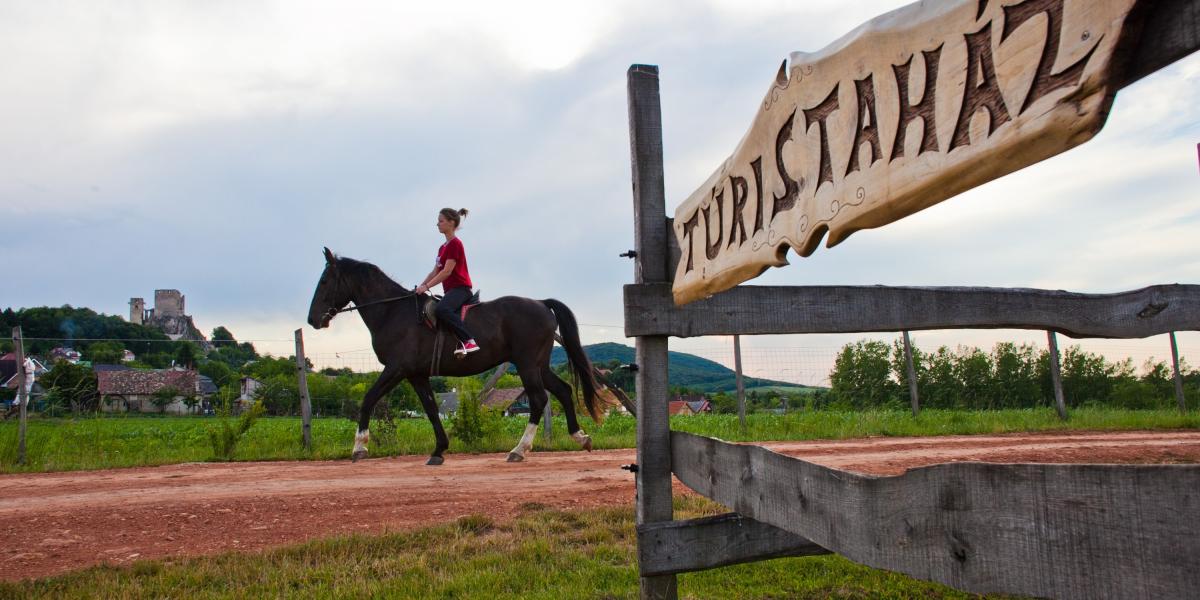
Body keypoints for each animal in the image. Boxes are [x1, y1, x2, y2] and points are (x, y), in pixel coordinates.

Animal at [307, 247, 600, 463]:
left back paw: (519, 450)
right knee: (562, 390)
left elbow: (368, 399)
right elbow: (431, 409)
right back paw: (580, 437)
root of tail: (541, 303)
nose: (312, 320)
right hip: (538, 365)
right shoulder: (416, 375)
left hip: (527, 364)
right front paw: (439, 450)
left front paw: (359, 448)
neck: (393, 312)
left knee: (539, 399)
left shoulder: (397, 368)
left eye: (324, 281)